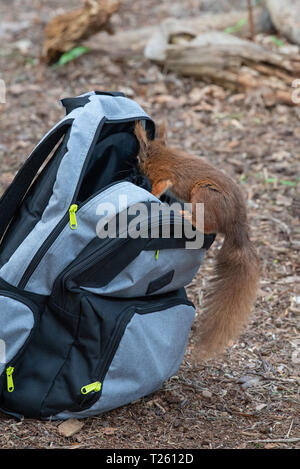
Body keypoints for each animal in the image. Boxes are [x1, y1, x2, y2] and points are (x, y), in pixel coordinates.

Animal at [134, 121, 260, 358]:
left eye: (138, 158)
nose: (133, 165)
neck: (162, 154)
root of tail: (236, 225)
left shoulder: (163, 176)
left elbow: (159, 186)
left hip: (204, 194)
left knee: (208, 225)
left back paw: (186, 216)